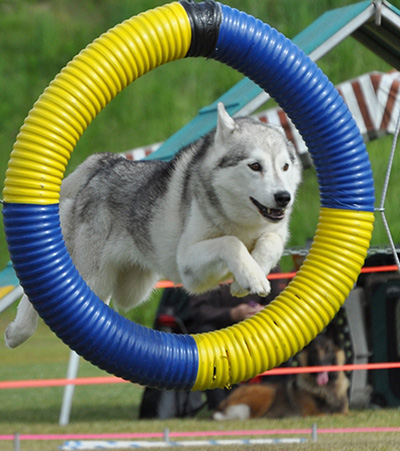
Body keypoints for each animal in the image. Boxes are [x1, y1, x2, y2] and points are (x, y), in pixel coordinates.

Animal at [214, 334, 348, 422]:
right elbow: (334, 415)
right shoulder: (312, 413)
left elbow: (345, 414)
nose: (321, 364)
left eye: (328, 351)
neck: (327, 387)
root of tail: (224, 403)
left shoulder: (343, 410)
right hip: (266, 392)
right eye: (314, 352)